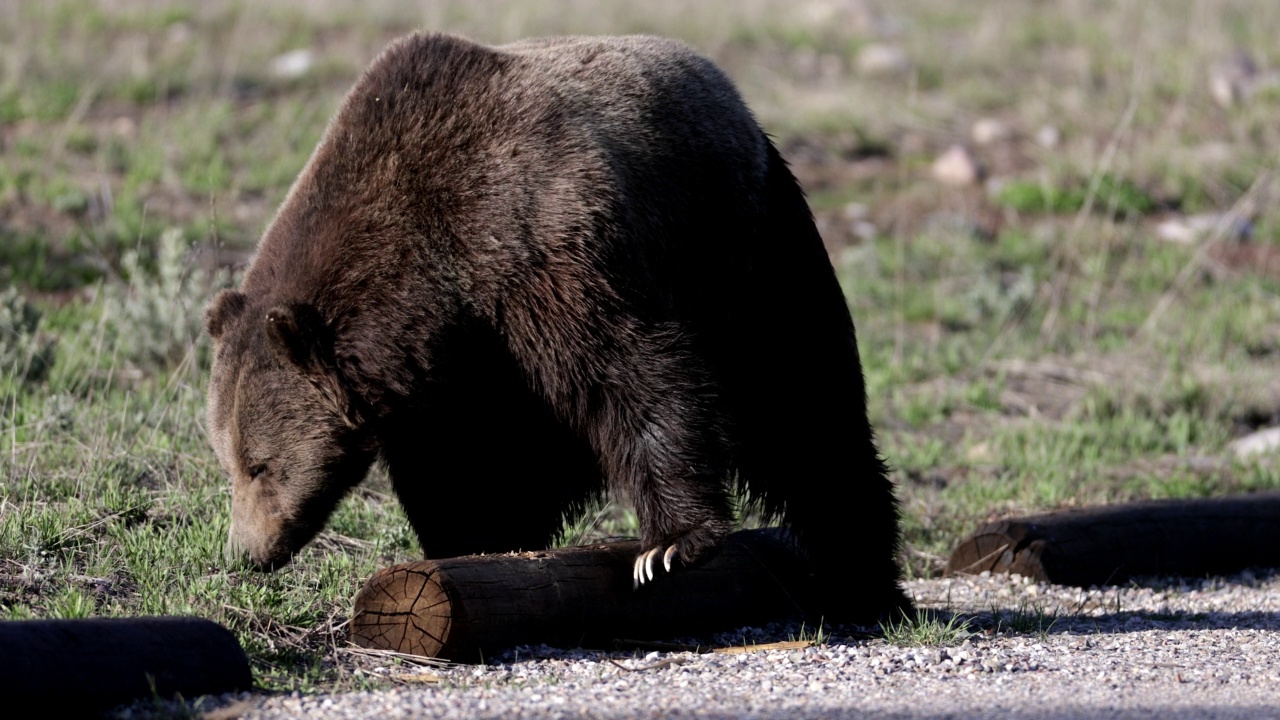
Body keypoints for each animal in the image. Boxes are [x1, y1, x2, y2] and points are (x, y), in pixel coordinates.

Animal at [207, 30, 911, 620]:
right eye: (230, 460)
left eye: (259, 465)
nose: (246, 552)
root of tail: (732, 95)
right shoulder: (445, 367)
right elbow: (461, 463)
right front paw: (470, 543)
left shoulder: (542, 250)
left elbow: (636, 374)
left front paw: (669, 546)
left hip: (746, 248)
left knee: (804, 410)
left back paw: (861, 581)